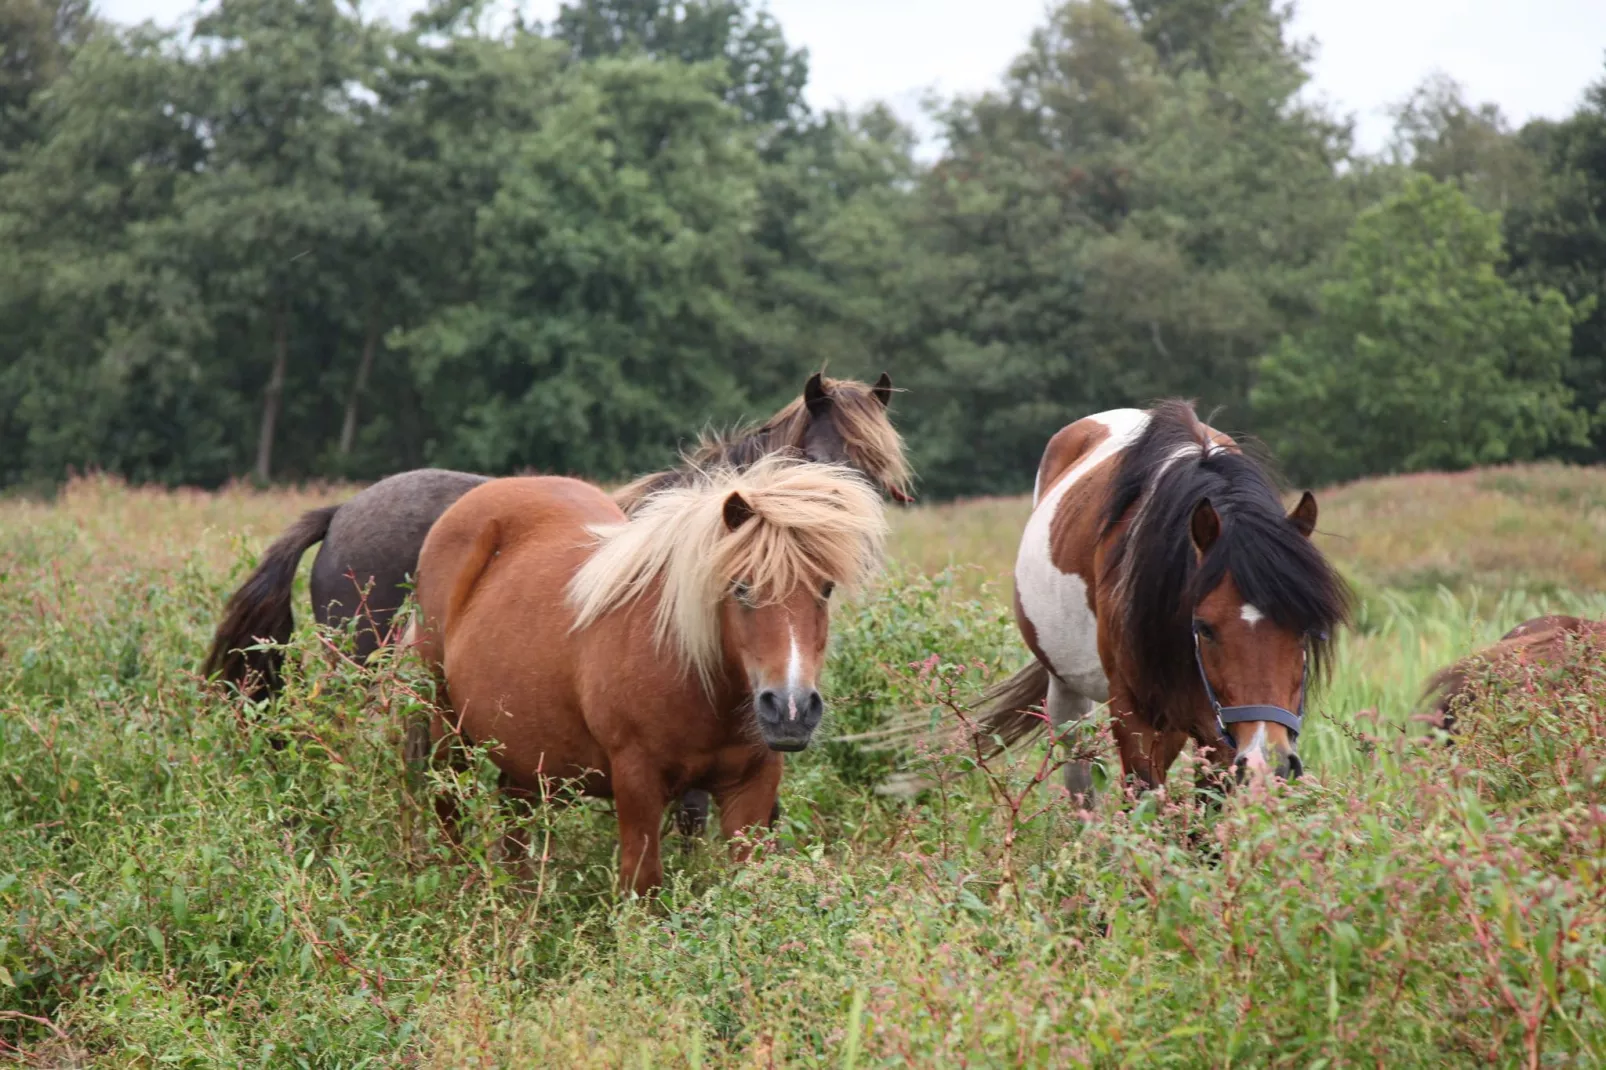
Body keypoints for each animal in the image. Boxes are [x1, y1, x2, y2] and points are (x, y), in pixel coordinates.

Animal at [411, 453, 892, 893]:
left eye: (825, 589)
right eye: (741, 588)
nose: (791, 710)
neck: (697, 679)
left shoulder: (752, 786)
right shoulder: (637, 782)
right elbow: (643, 883)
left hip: (525, 751)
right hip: (445, 726)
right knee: (448, 807)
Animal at [976, 401, 1355, 800]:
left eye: (1305, 629)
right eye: (1204, 628)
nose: (1263, 762)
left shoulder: (1218, 735)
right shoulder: (1135, 717)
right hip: (1067, 693)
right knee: (1079, 769)